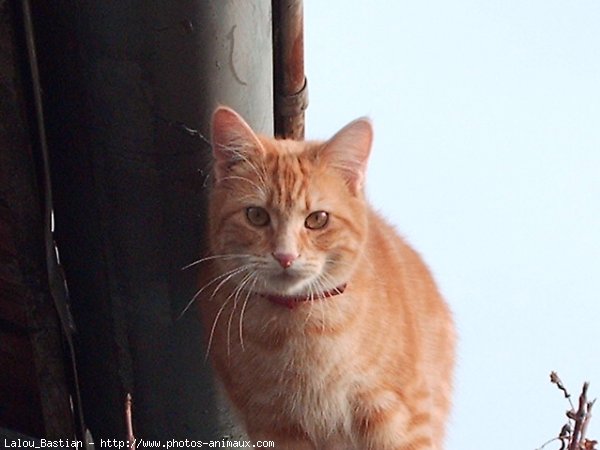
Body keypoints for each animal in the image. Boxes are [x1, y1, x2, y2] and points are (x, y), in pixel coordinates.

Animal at [197, 106, 454, 450]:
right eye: (256, 215)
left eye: (317, 219)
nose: (285, 256)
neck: (304, 328)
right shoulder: (276, 427)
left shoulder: (397, 417)